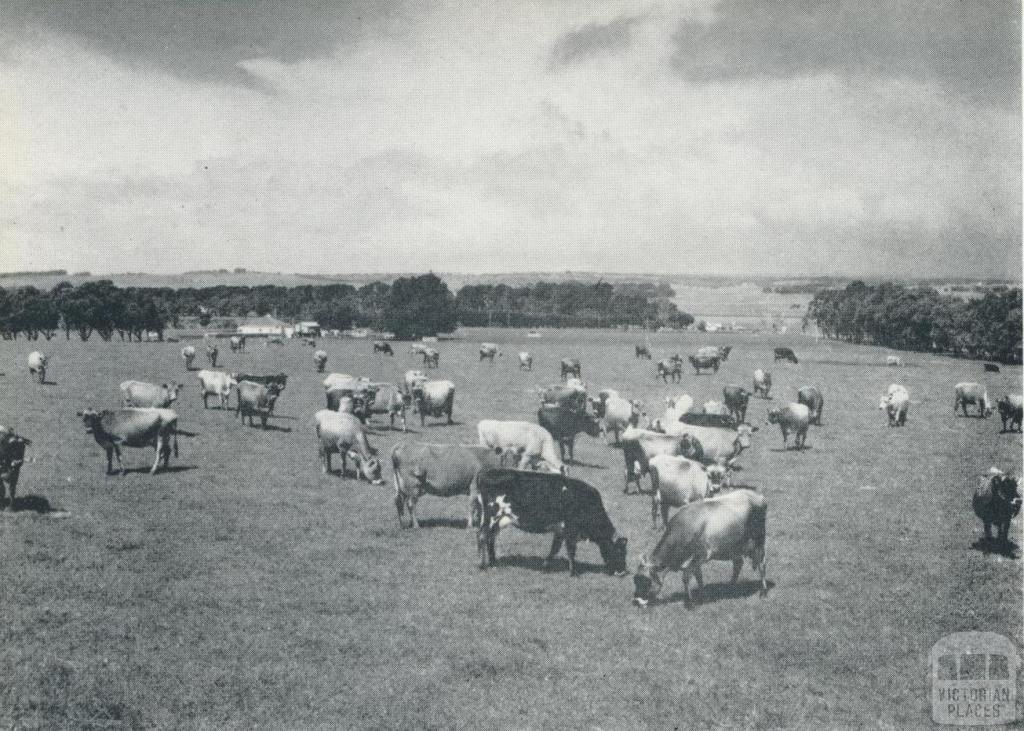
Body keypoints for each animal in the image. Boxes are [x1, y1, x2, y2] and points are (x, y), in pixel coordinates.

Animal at [475, 466, 626, 573]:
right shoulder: (571, 528)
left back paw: (493, 563)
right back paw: (482, 565)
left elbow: (555, 549)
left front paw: (546, 566)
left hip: (498, 520)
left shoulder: (560, 530)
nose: (622, 572)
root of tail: (487, 471)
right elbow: (571, 550)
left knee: (490, 538)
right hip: (492, 515)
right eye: (619, 551)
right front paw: (574, 572)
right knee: (482, 536)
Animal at [630, 487, 770, 606]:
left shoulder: (701, 555)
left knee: (761, 565)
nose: (636, 601)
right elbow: (699, 578)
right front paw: (702, 597)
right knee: (738, 563)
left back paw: (763, 592)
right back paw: (730, 587)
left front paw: (690, 602)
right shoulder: (695, 560)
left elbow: (686, 577)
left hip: (758, 541)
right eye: (635, 580)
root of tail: (758, 496)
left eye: (646, 581)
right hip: (734, 545)